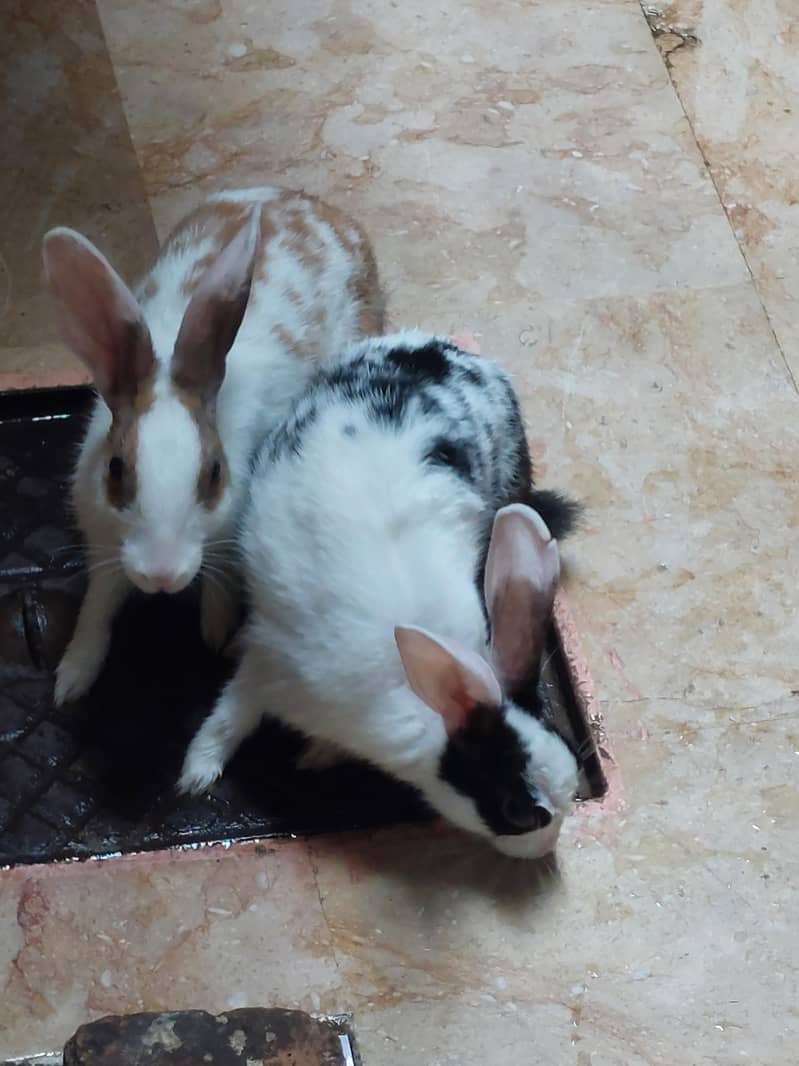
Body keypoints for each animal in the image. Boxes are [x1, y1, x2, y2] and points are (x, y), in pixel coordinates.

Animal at [42, 187, 384, 705]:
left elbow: (220, 581)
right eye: (116, 469)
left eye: (215, 474)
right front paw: (72, 679)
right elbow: (98, 605)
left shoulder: (227, 534)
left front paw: (215, 632)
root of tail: (319, 206)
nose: (161, 576)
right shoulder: (102, 535)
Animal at [179, 331, 581, 858]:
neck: (418, 693)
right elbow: (229, 717)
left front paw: (316, 755)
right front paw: (196, 774)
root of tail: (443, 350)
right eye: (518, 810)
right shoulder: (269, 670)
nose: (546, 849)